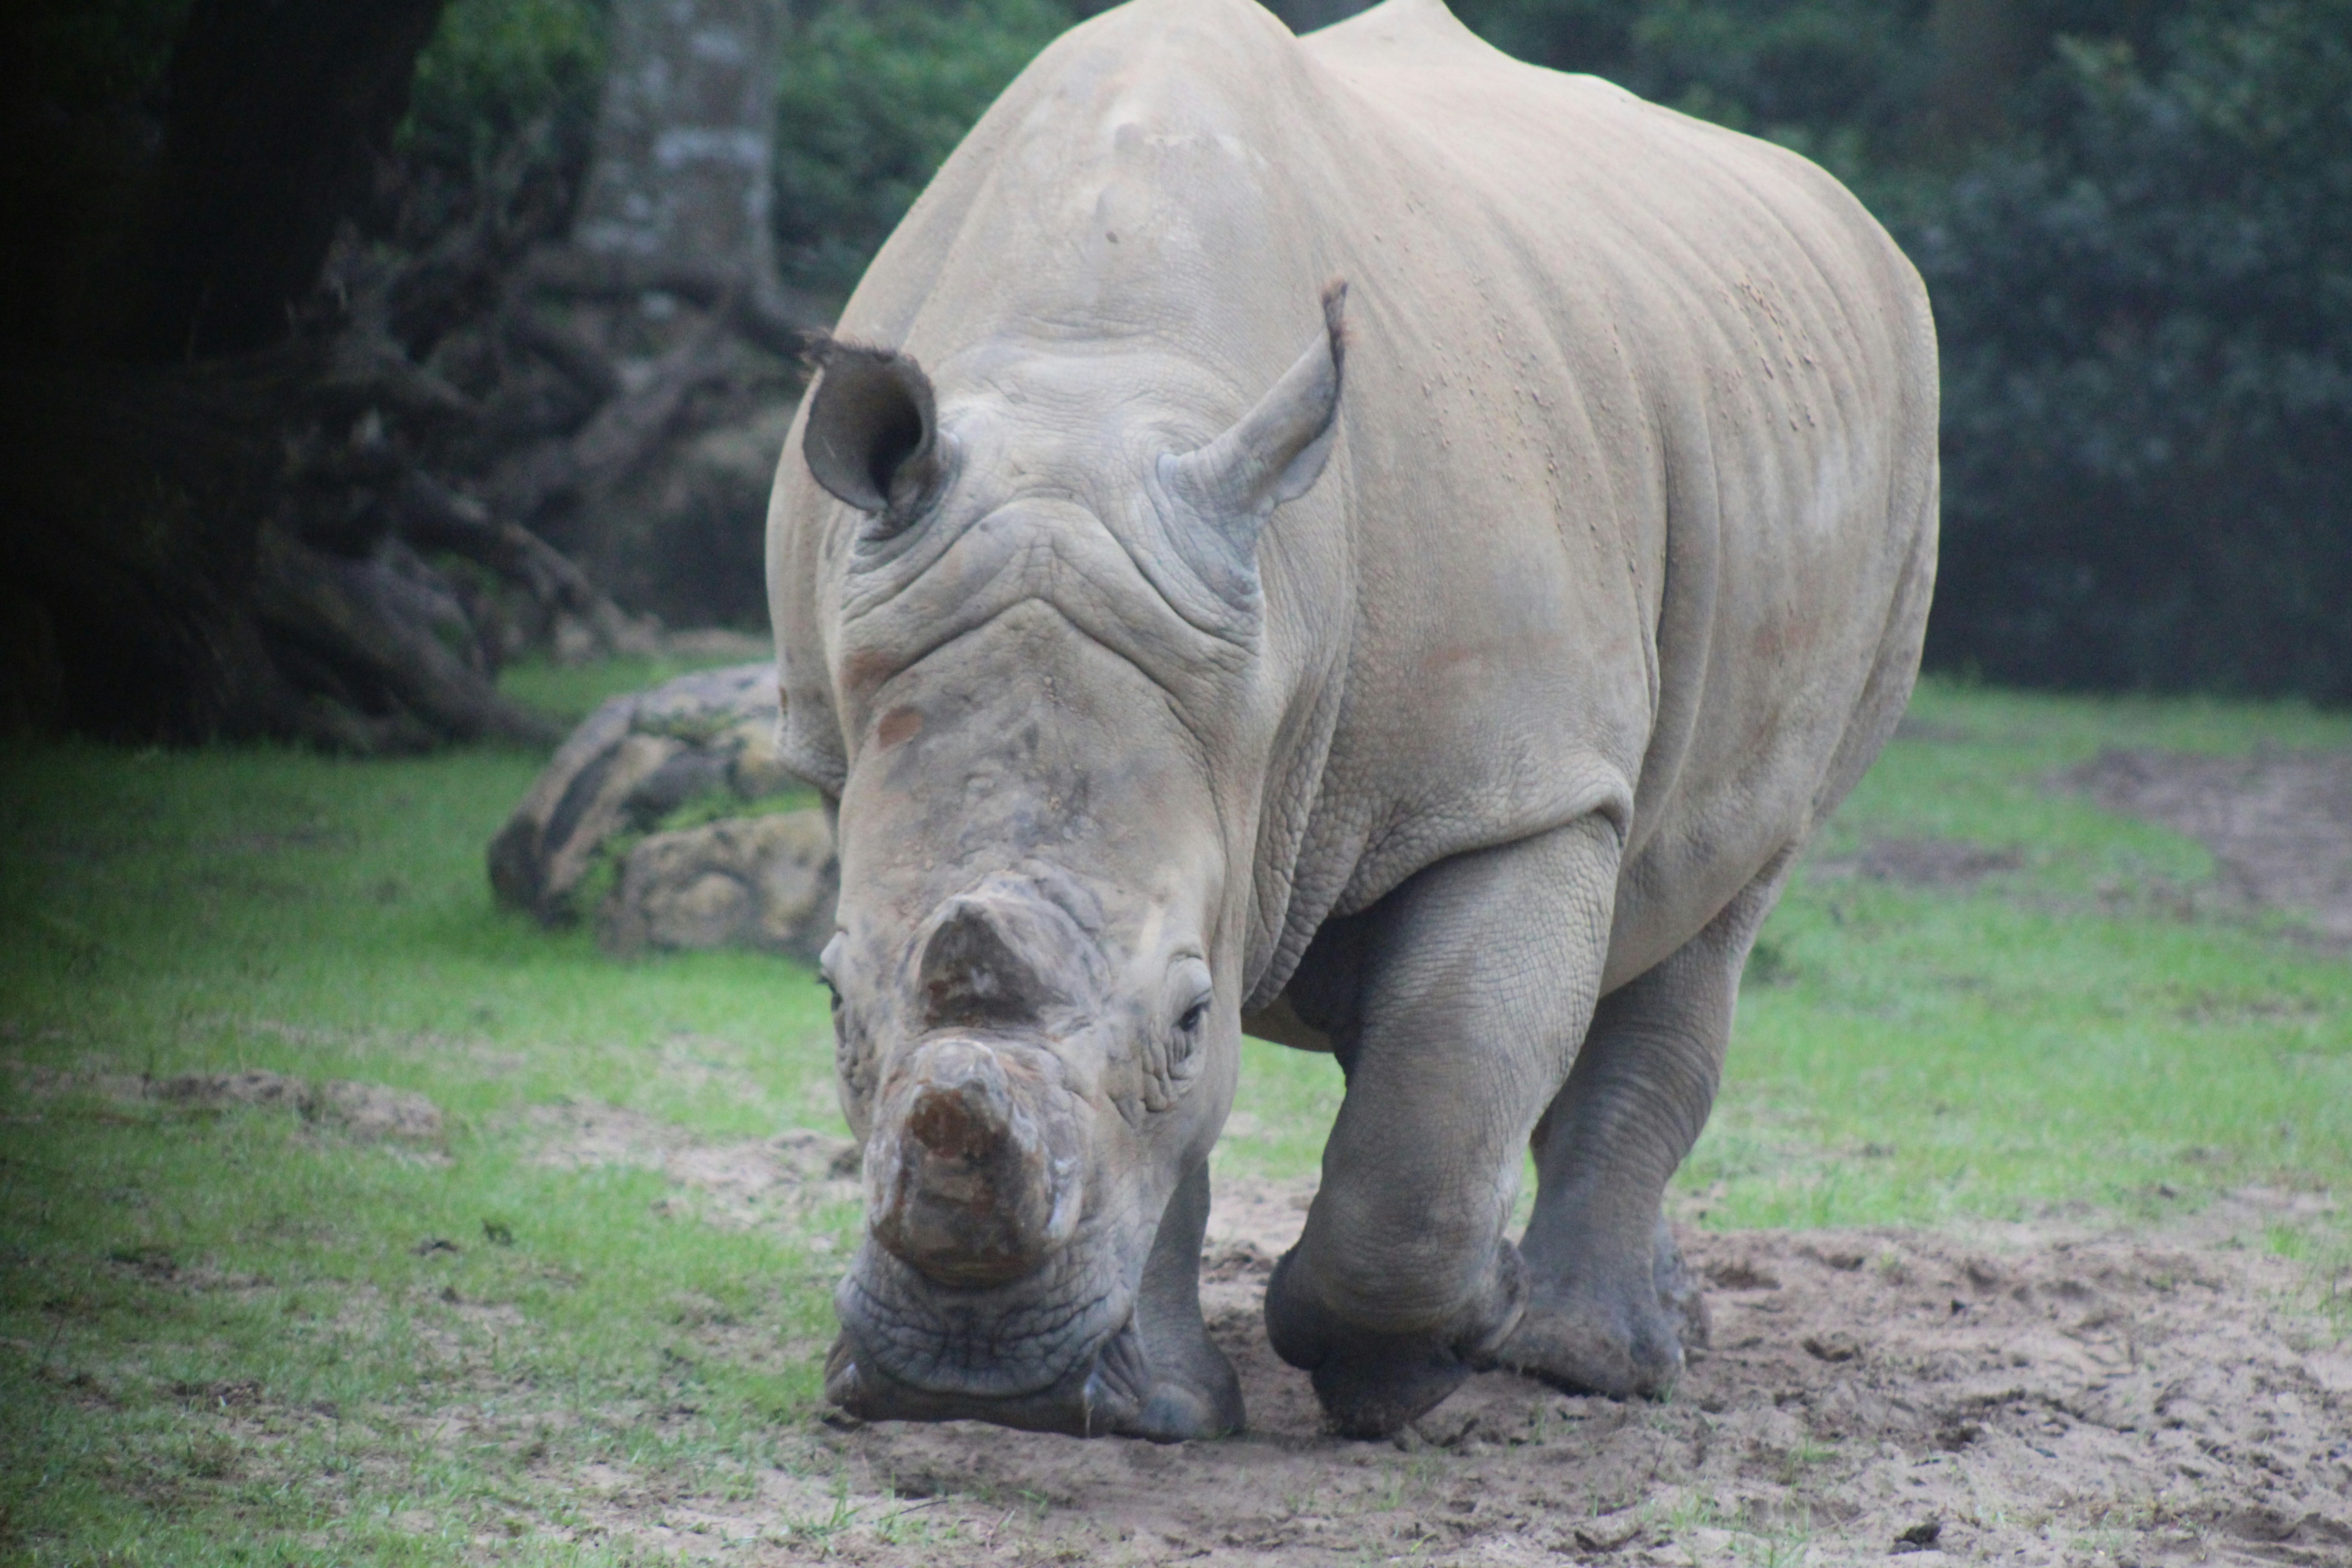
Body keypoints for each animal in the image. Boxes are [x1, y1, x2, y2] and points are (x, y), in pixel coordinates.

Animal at [764, 0, 1937, 1441]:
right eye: (831, 998)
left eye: (1189, 1015)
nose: (970, 1376)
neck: (1092, 388)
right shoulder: (854, 741)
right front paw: (1168, 1412)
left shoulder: (1518, 784)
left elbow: (1429, 1114)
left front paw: (1401, 1360)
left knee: (1720, 892)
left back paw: (1580, 1360)